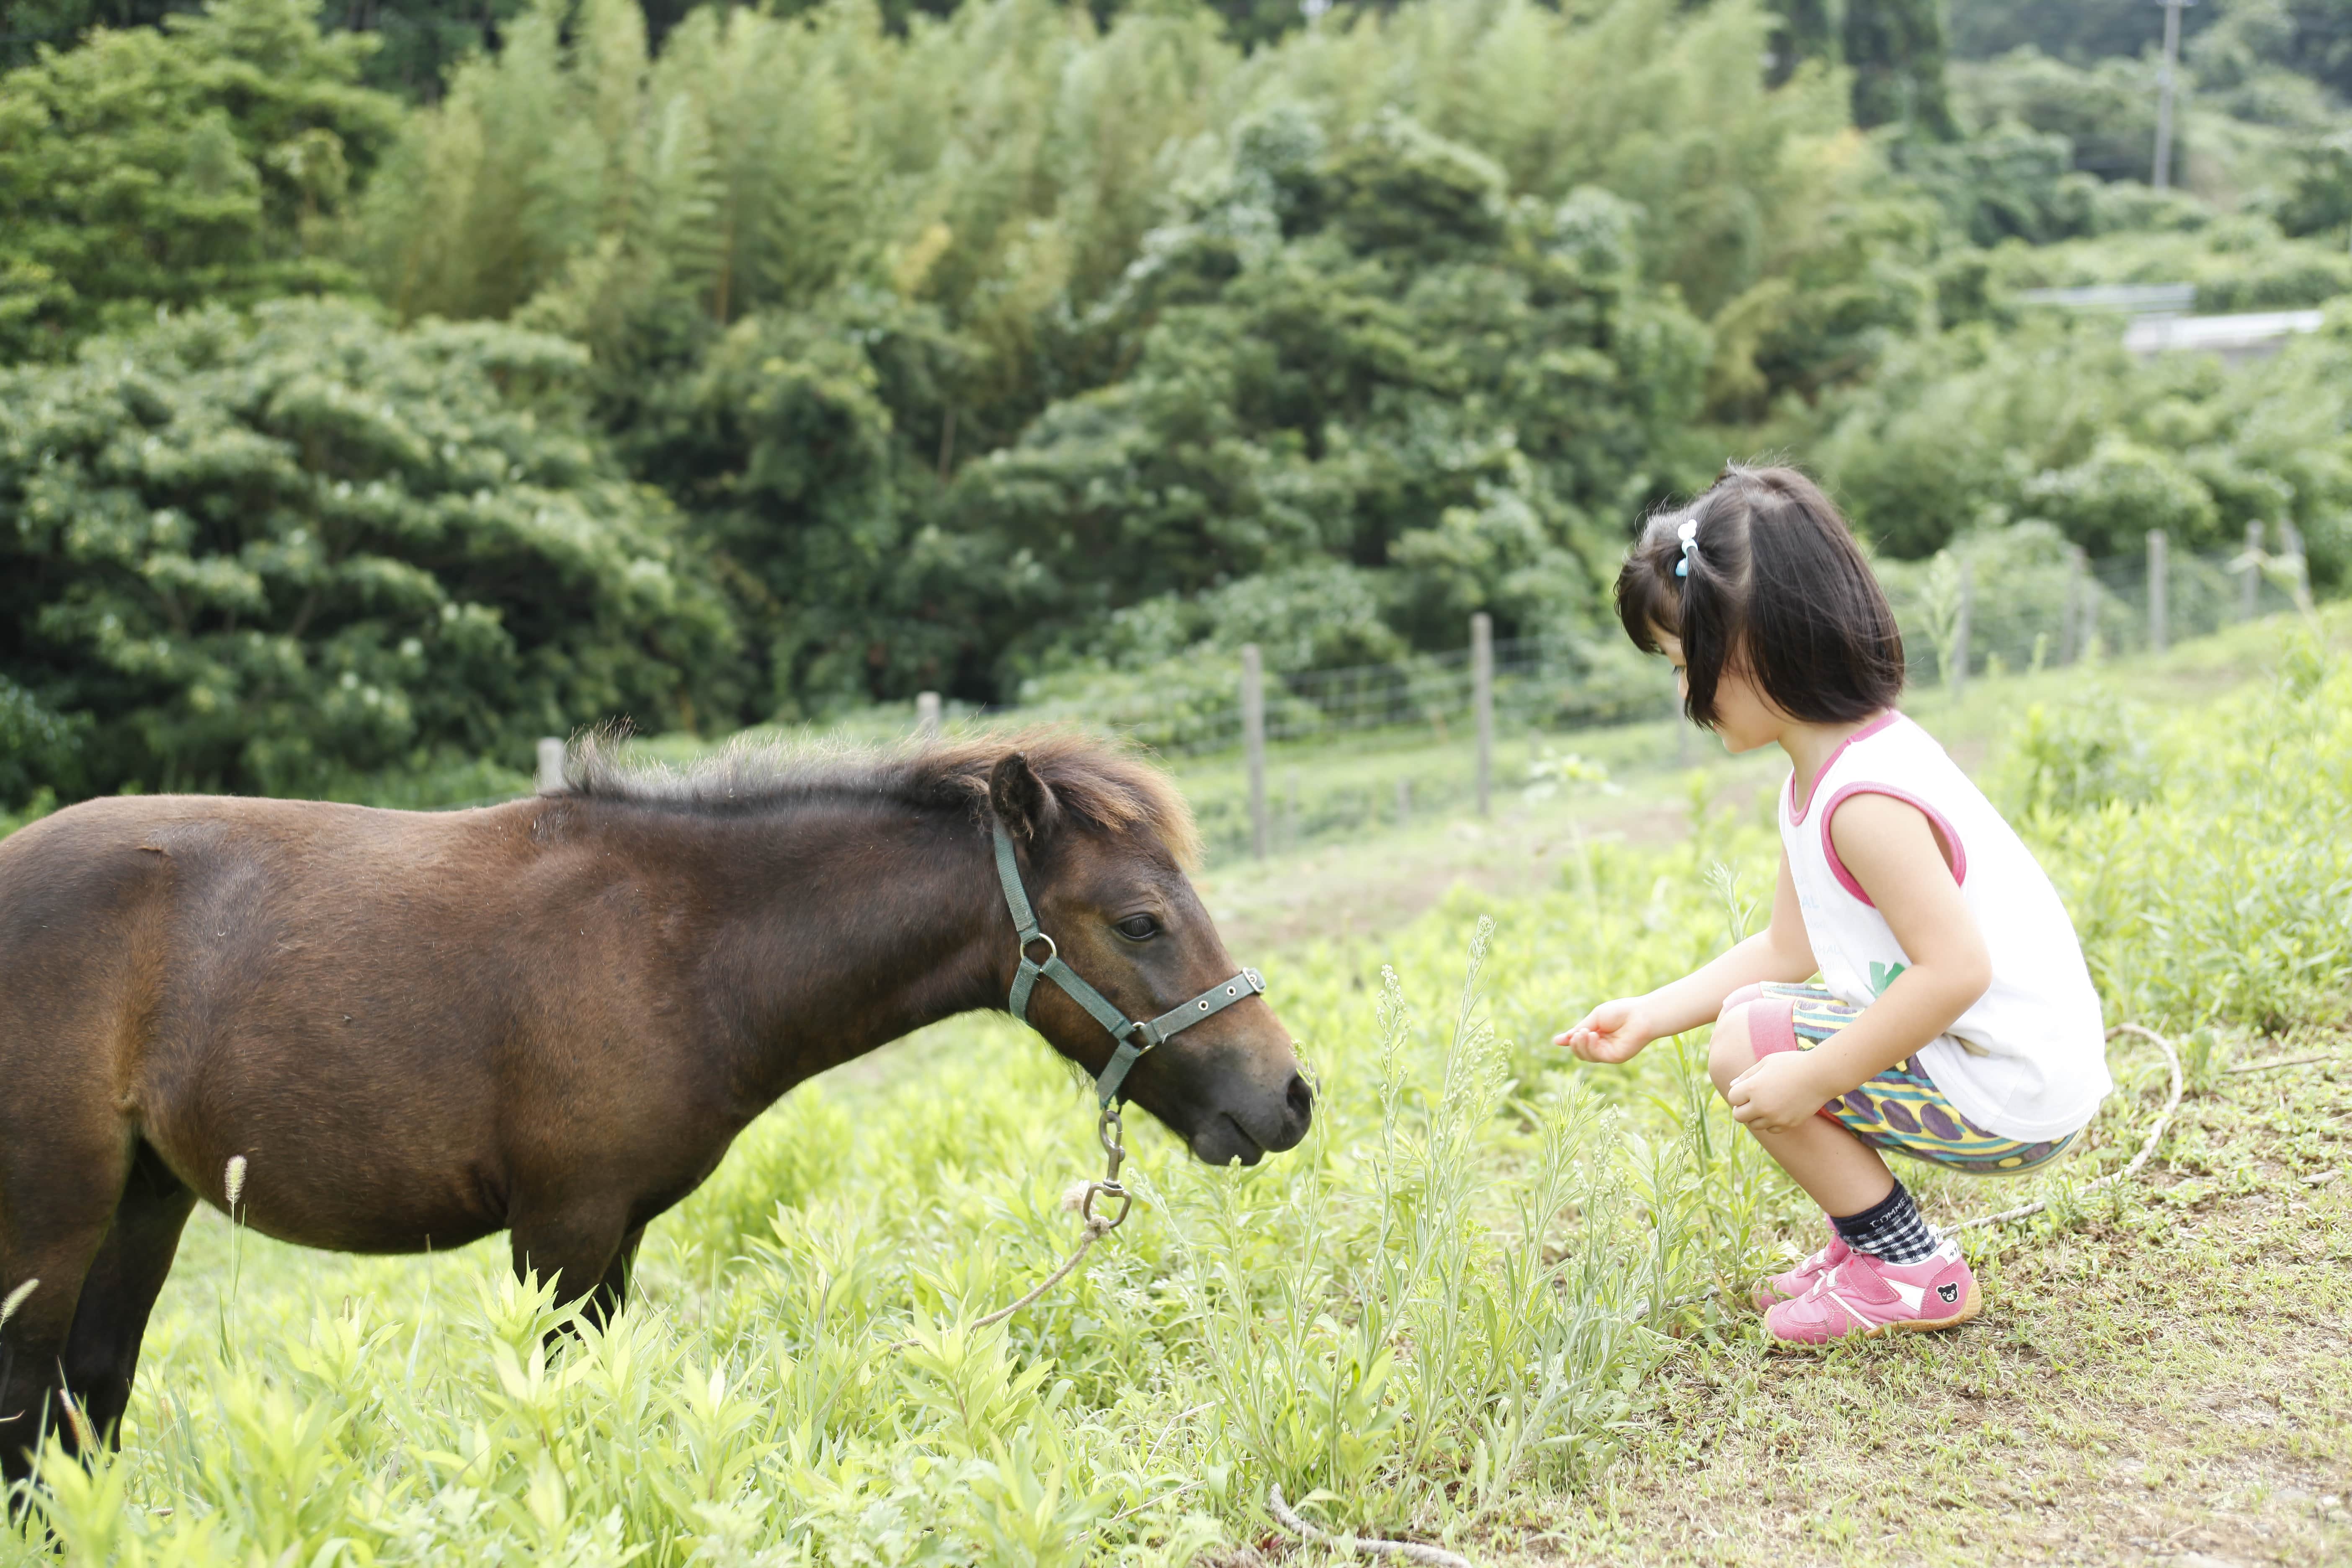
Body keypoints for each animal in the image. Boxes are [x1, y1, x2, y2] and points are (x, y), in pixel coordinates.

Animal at [0, 738, 1308, 1485]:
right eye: (1139, 919)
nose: (1287, 1095)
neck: (682, 947)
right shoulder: (563, 1230)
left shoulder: (614, 1235)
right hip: (50, 1227)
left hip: (142, 1206)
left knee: (86, 1404)